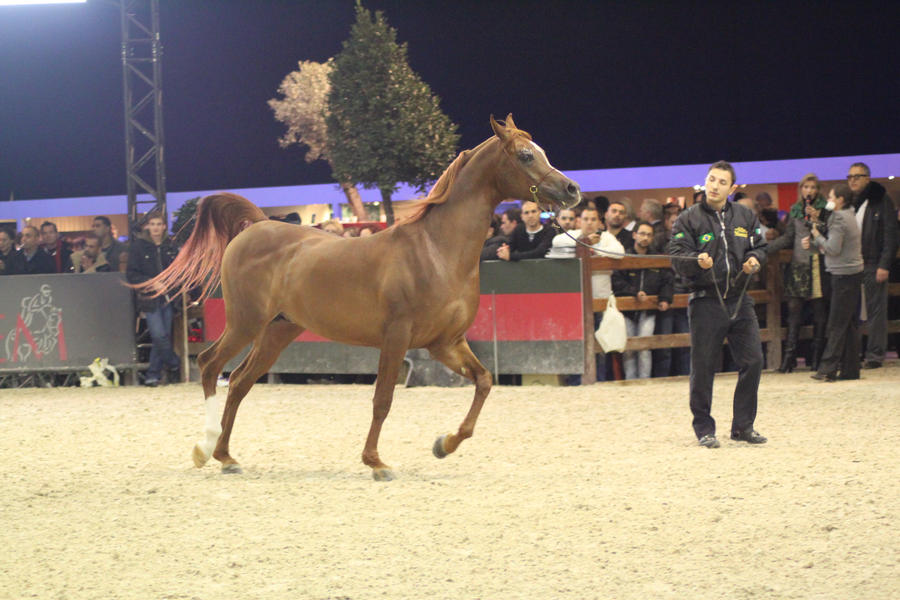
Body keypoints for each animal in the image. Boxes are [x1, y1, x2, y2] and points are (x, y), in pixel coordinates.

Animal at [137, 113, 580, 478]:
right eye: (525, 155)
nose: (572, 189)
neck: (436, 250)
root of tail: (257, 225)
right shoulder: (397, 337)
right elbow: (382, 399)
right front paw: (376, 462)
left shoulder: (445, 343)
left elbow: (485, 381)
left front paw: (444, 445)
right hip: (245, 323)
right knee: (211, 366)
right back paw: (205, 447)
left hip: (278, 331)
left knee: (241, 382)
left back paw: (227, 457)